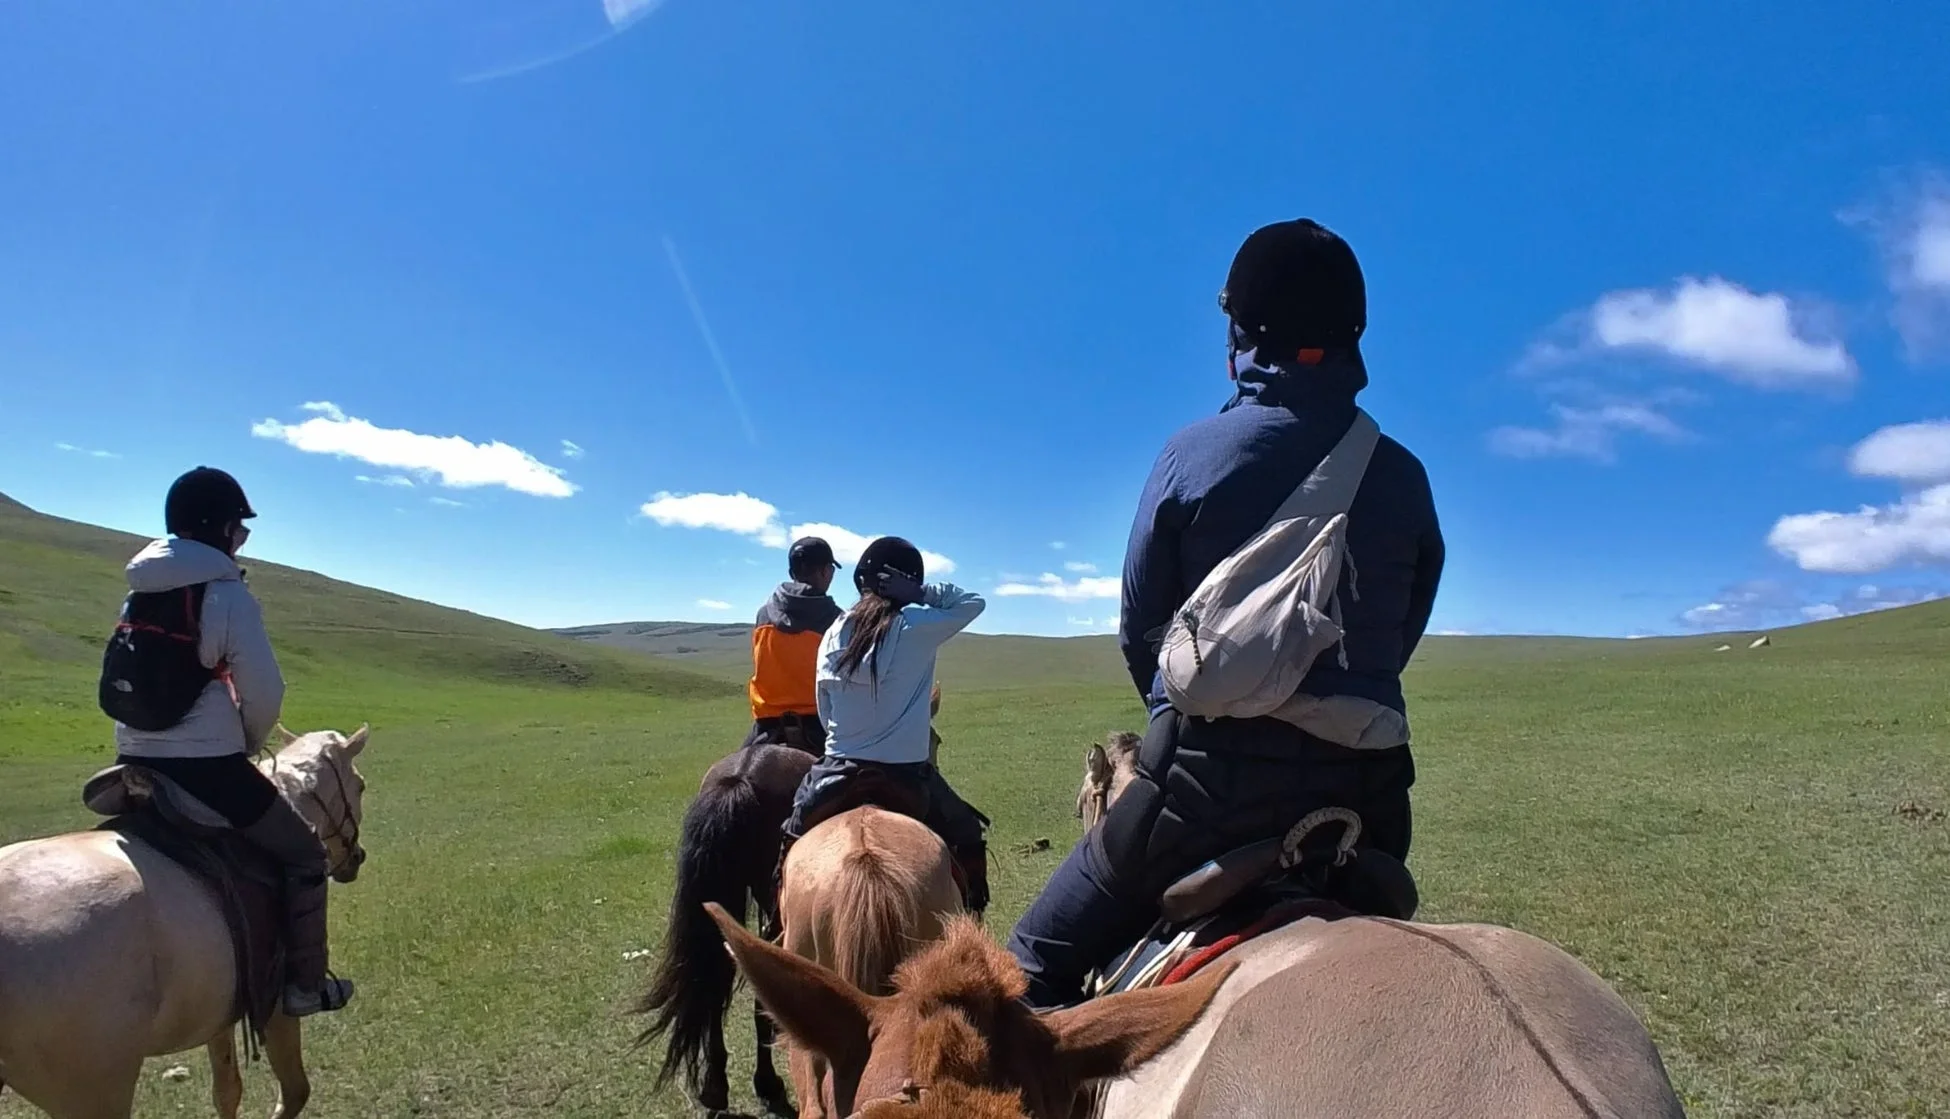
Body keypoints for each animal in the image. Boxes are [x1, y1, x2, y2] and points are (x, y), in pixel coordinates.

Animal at [0, 724, 371, 1119]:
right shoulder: (275, 1004)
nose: (356, 858)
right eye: (360, 786)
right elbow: (295, 1090)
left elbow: (227, 1090)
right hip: (95, 1095)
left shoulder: (224, 1007)